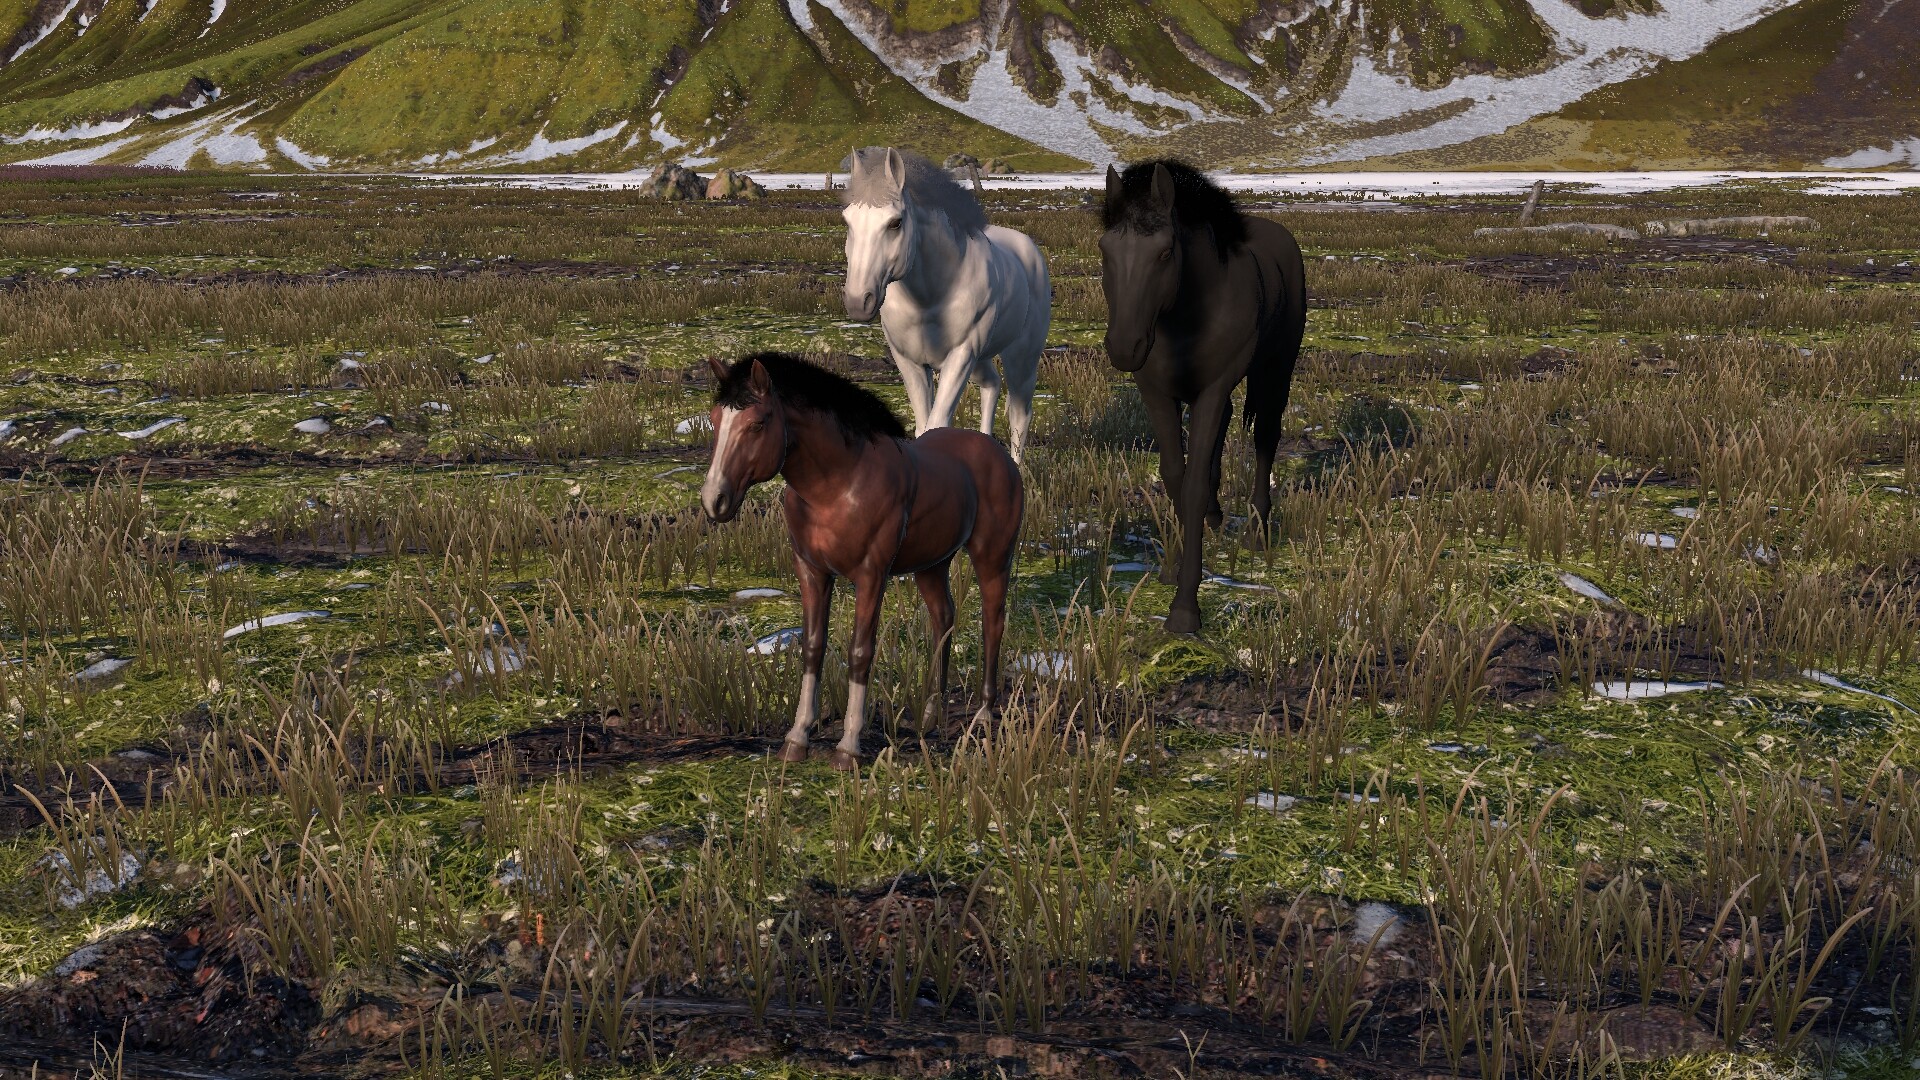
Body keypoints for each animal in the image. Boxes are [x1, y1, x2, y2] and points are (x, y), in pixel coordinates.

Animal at [700, 351, 1024, 770]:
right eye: (714, 419)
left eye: (757, 423)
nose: (714, 500)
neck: (837, 486)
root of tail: (998, 454)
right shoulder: (811, 571)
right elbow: (813, 647)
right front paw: (796, 740)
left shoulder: (871, 574)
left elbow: (859, 652)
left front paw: (848, 747)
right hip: (932, 565)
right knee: (943, 618)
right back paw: (931, 714)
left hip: (992, 557)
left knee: (992, 622)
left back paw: (983, 715)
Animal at [841, 146, 1051, 463]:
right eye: (847, 221)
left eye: (895, 223)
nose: (858, 301)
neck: (928, 299)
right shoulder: (910, 362)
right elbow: (922, 426)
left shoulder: (961, 356)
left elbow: (936, 424)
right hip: (982, 360)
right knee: (992, 385)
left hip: (1021, 357)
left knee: (1019, 415)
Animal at [1099, 160, 1307, 635]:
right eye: (1105, 250)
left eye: (1164, 253)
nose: (1124, 347)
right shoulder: (1156, 393)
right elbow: (1175, 477)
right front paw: (1173, 567)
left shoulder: (1211, 389)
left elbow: (1192, 484)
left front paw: (1184, 610)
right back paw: (1215, 518)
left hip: (1276, 369)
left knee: (1266, 436)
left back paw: (1256, 533)